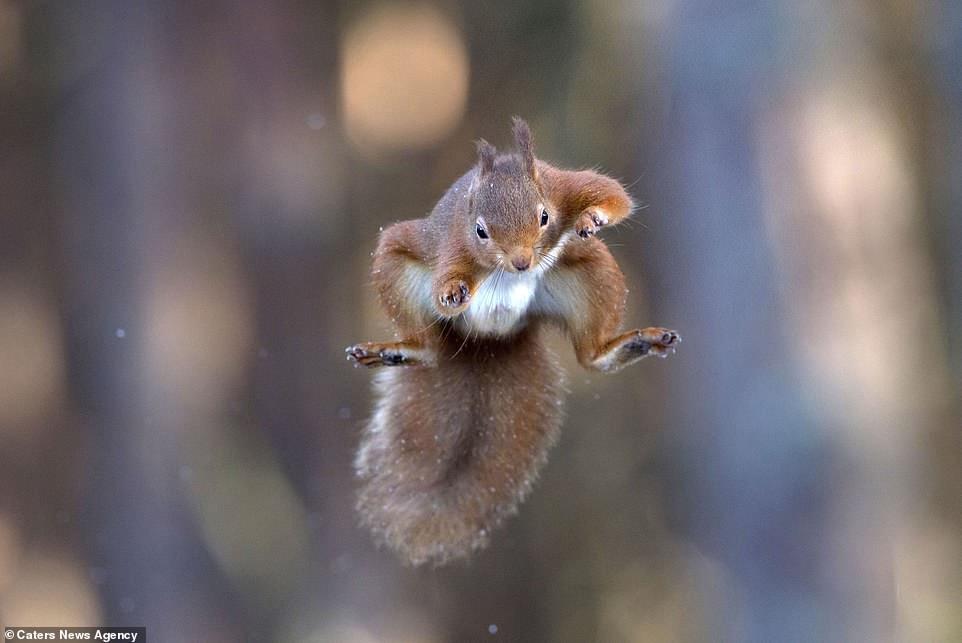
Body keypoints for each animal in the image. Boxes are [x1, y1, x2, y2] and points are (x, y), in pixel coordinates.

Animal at [348, 118, 680, 568]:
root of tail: (489, 337)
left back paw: (627, 346)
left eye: (544, 216)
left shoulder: (563, 186)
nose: (522, 262)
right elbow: (449, 276)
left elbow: (613, 193)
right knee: (429, 347)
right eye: (480, 231)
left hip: (593, 272)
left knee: (591, 355)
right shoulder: (453, 245)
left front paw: (593, 216)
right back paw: (401, 349)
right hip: (394, 257)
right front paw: (452, 294)